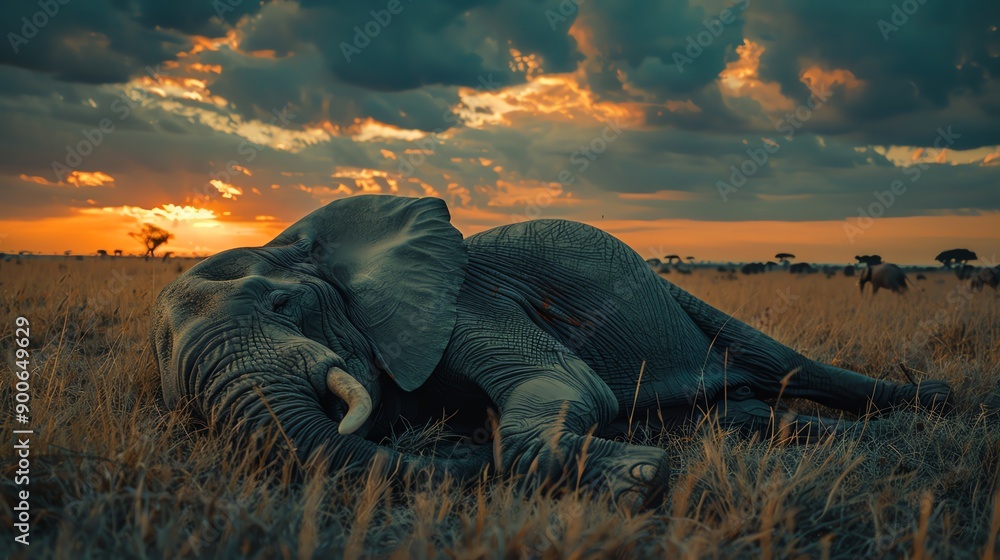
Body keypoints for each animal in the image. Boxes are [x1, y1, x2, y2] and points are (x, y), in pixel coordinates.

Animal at [152, 195, 951, 507]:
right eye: (166, 366)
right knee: (740, 412)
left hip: (687, 299)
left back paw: (933, 401)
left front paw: (638, 479)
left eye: (281, 306)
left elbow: (567, 386)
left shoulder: (471, 300)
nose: (457, 455)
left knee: (788, 364)